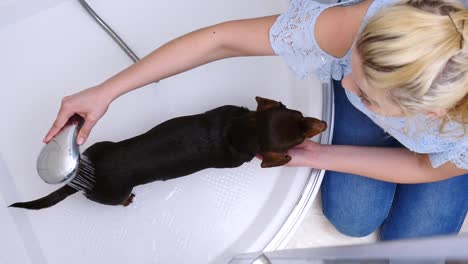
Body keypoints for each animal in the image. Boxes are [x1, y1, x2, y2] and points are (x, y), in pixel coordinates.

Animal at [10, 97, 326, 210]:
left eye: (299, 114)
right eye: (298, 139)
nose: (322, 124)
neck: (235, 130)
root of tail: (82, 179)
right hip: (111, 195)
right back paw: (126, 201)